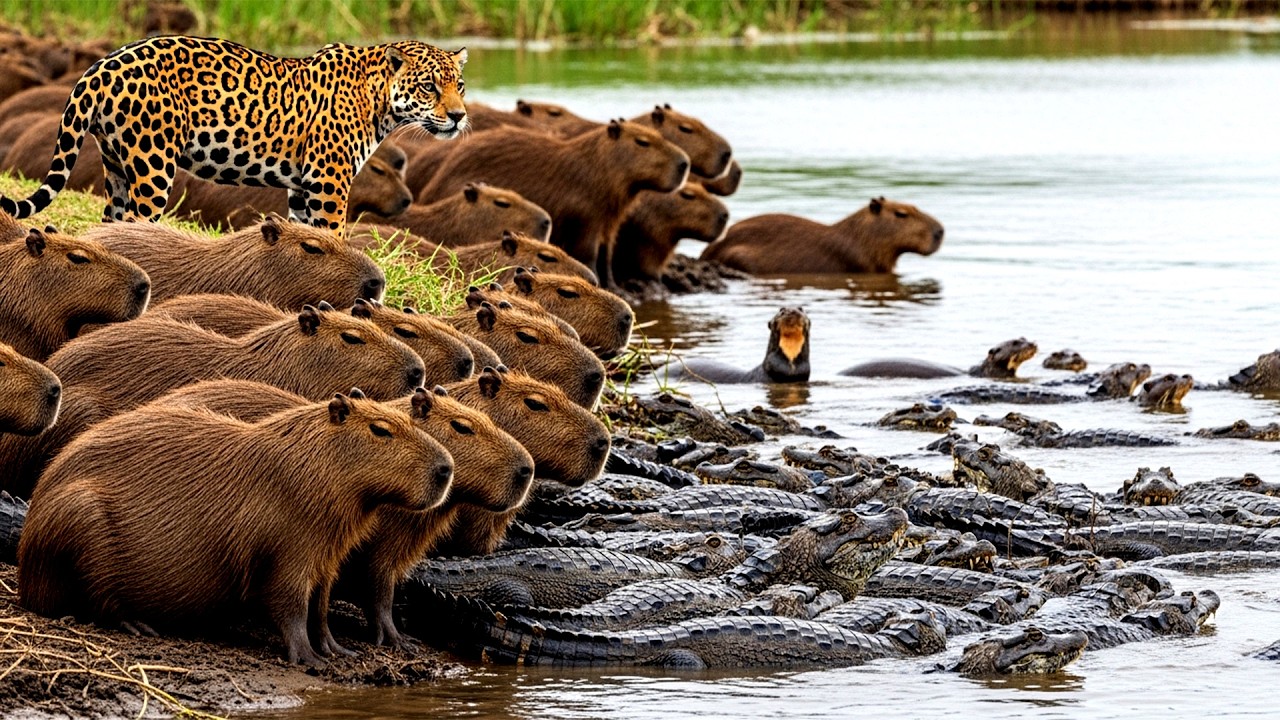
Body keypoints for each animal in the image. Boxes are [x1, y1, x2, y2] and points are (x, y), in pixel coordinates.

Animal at [18, 389, 452, 667]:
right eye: (381, 429)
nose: (445, 468)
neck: (306, 461)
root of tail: (25, 581)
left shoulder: (327, 556)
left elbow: (321, 605)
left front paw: (339, 650)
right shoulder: (287, 550)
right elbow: (289, 604)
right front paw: (310, 658)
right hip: (80, 516)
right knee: (94, 601)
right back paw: (138, 625)